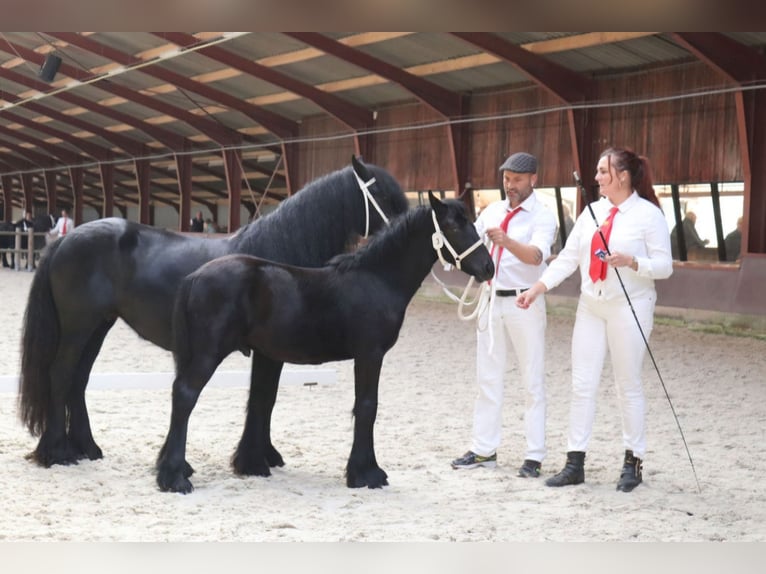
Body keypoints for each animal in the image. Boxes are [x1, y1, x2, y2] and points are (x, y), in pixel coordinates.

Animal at [18, 155, 412, 470]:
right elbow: (262, 398)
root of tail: (64, 241)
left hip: (98, 326)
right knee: (60, 375)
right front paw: (253, 460)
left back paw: (86, 447)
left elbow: (264, 399)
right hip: (77, 327)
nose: (409, 225)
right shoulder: (270, 351)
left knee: (78, 380)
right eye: (381, 194)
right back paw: (57, 452)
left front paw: (263, 455)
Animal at [157, 194, 496, 496]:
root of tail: (195, 276)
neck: (377, 280)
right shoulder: (370, 355)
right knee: (185, 396)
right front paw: (366, 473)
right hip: (207, 354)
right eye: (453, 227)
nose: (488, 268)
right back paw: (174, 478)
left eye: (473, 223)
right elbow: (367, 407)